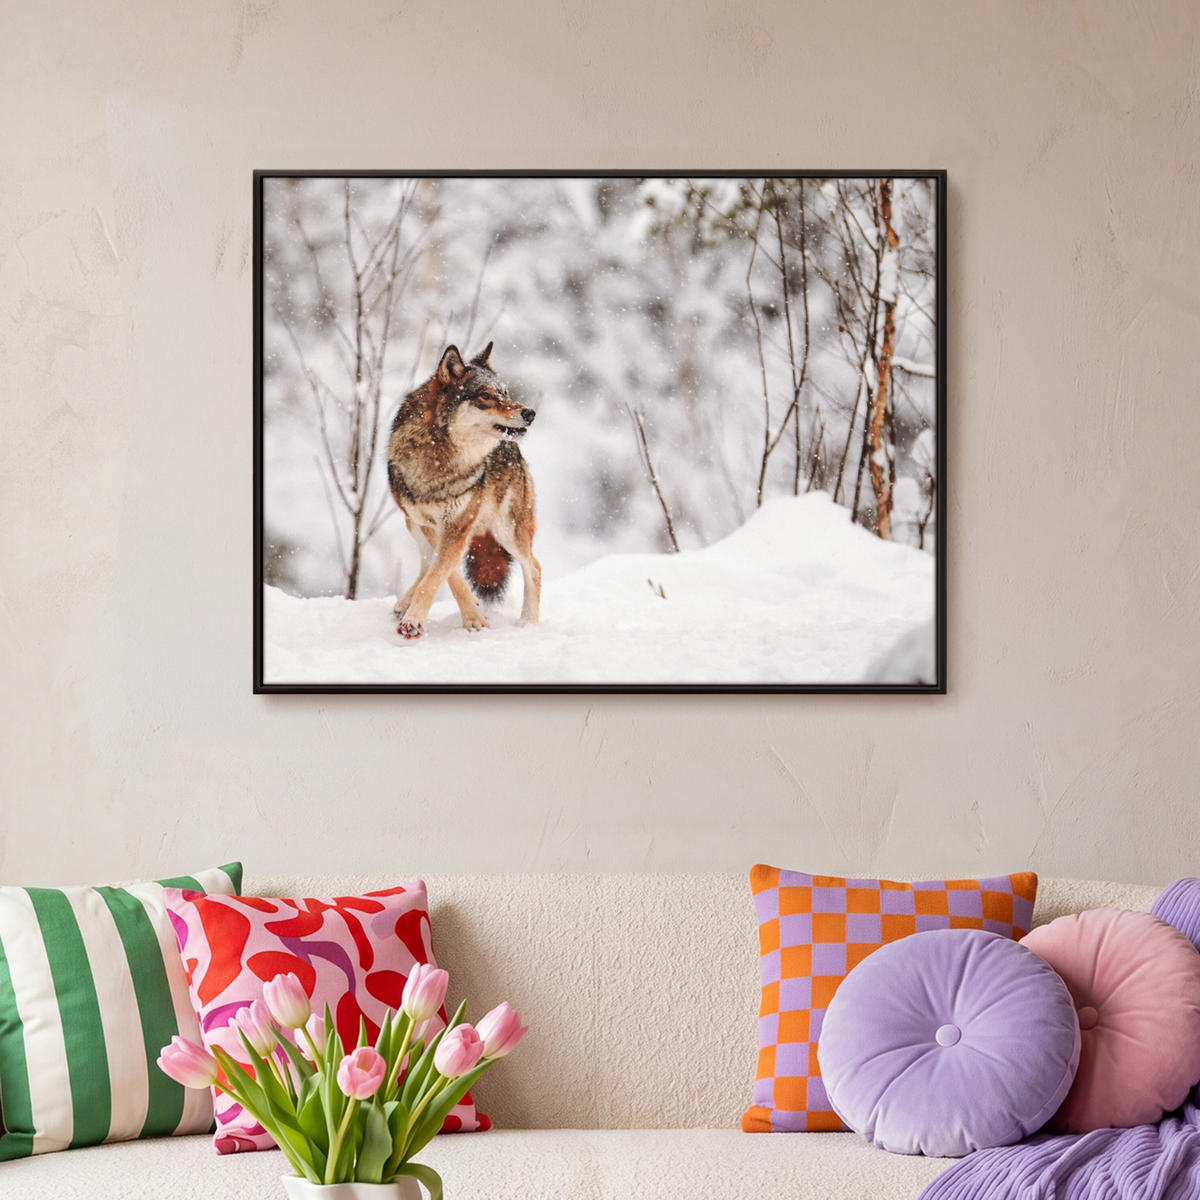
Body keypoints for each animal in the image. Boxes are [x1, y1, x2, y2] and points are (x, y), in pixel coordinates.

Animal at [386, 343, 540, 639]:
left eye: (505, 393)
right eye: (486, 395)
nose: (530, 413)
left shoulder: (457, 525)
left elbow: (438, 574)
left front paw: (416, 621)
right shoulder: (431, 525)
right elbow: (446, 573)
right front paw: (473, 615)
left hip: (508, 530)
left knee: (534, 567)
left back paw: (528, 623)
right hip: (412, 523)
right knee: (426, 563)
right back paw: (403, 603)